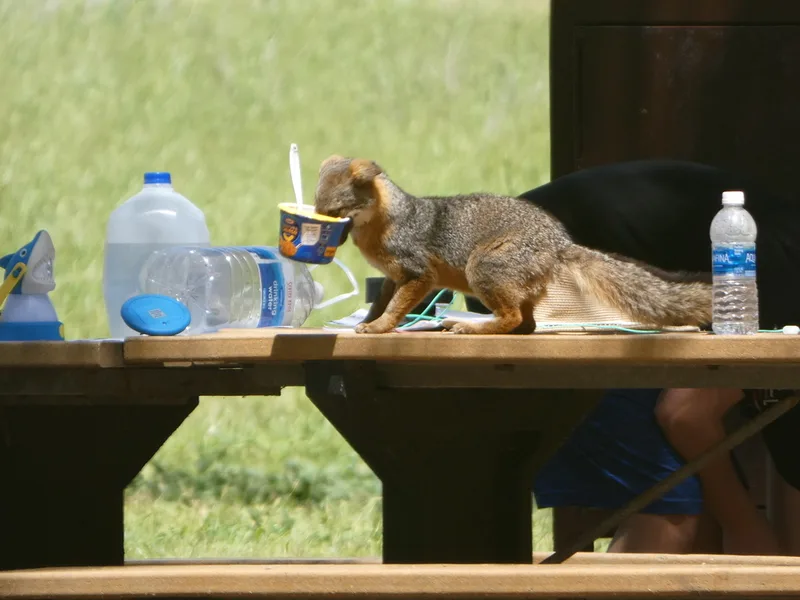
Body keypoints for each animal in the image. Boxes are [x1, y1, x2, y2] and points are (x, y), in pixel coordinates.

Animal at [313, 155, 712, 335]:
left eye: (335, 213)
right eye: (318, 209)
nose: (318, 230)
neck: (383, 225)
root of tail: (559, 240)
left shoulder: (417, 274)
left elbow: (396, 308)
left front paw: (380, 327)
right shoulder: (393, 277)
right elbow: (380, 303)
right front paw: (365, 323)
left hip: (481, 269)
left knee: (514, 318)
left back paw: (474, 328)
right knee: (527, 324)